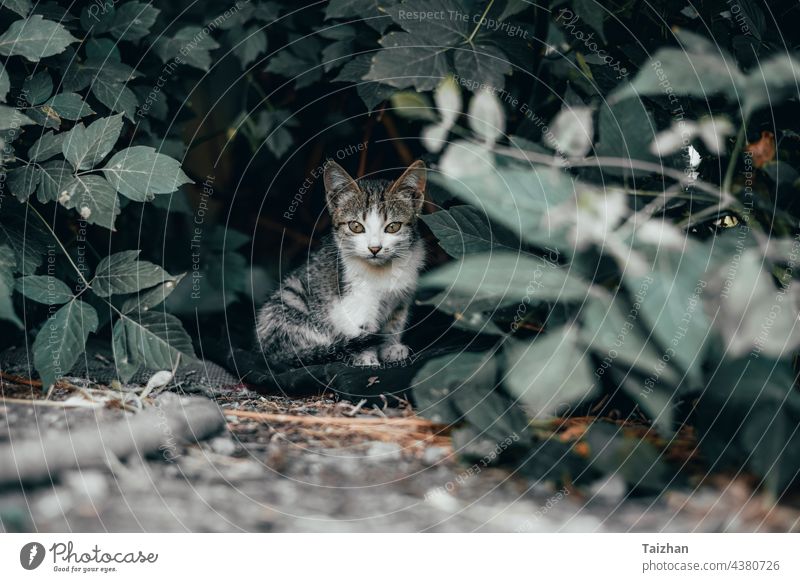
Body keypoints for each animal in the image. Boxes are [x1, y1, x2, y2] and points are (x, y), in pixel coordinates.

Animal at [258, 160, 428, 370]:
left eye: (393, 227)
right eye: (356, 226)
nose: (374, 248)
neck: (383, 271)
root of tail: (269, 353)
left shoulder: (402, 296)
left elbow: (395, 323)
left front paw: (390, 347)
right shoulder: (353, 300)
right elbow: (362, 328)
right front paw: (366, 358)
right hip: (290, 299)